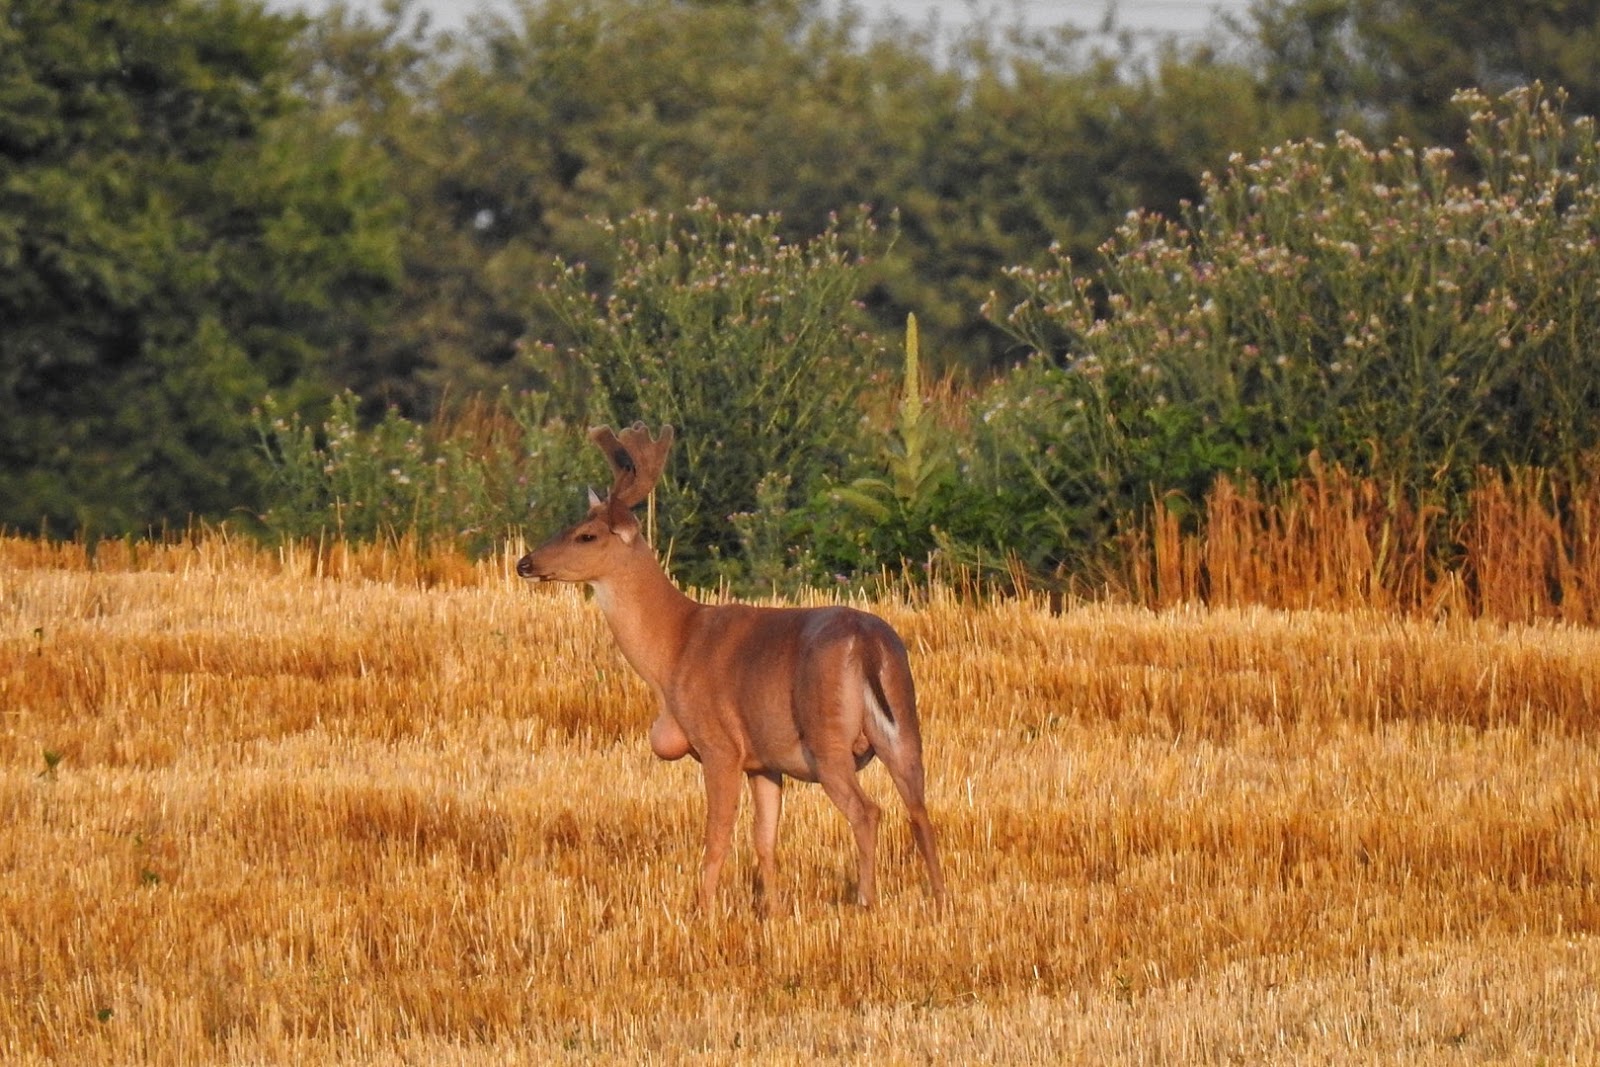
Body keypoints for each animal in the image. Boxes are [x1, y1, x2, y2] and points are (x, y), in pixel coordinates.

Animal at [516, 422, 947, 914]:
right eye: (565, 525)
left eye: (586, 535)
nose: (524, 563)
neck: (675, 647)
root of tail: (868, 641)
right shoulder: (764, 761)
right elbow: (765, 839)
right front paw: (774, 911)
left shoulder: (719, 745)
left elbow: (717, 835)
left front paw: (702, 909)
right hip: (905, 727)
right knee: (920, 811)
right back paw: (941, 902)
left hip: (827, 736)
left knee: (868, 811)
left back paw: (866, 901)